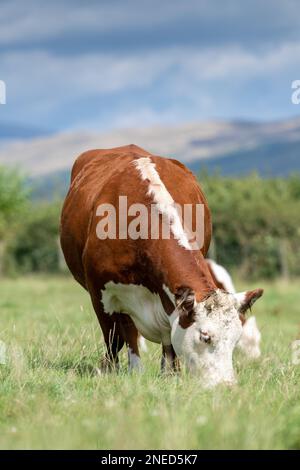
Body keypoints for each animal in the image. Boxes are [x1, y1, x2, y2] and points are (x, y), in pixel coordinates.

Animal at [60, 145, 262, 388]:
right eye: (205, 336)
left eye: (236, 339)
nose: (226, 385)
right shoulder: (101, 292)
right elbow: (115, 337)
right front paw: (114, 371)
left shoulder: (171, 299)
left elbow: (170, 340)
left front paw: (171, 374)